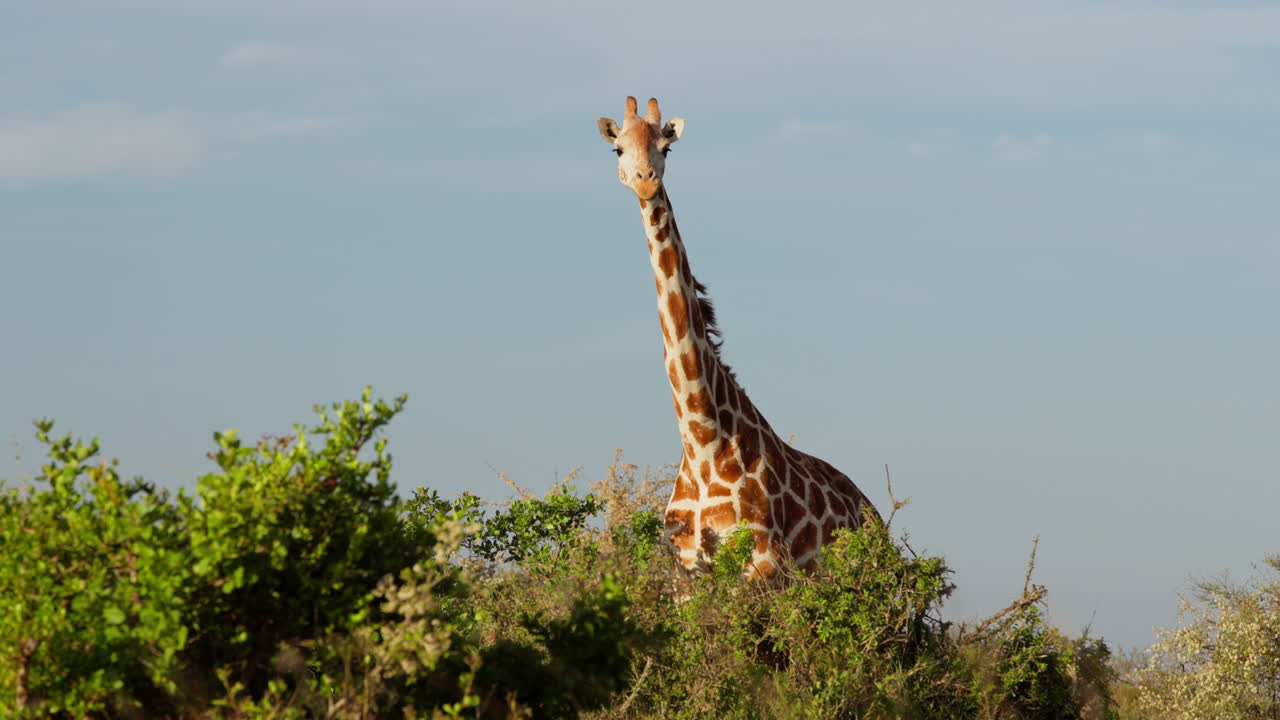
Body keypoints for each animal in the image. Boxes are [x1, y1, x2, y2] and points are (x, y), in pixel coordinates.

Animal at [596, 96, 880, 581]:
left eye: (666, 148)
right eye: (618, 149)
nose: (646, 183)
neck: (702, 443)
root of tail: (875, 514)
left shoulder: (763, 565)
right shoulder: (687, 573)